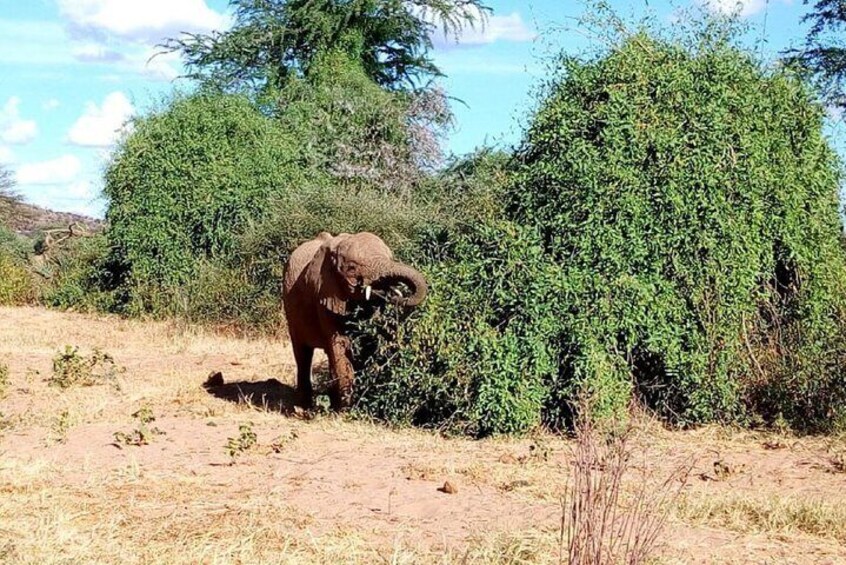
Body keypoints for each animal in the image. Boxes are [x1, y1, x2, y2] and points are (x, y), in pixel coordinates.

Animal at [282, 231, 428, 411]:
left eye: (390, 257)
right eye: (351, 268)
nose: (394, 294)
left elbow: (369, 342)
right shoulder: (324, 294)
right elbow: (342, 344)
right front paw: (347, 411)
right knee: (303, 353)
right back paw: (304, 407)